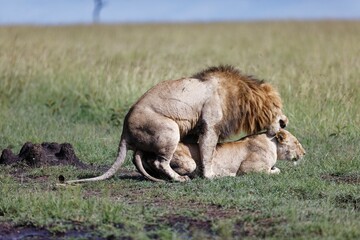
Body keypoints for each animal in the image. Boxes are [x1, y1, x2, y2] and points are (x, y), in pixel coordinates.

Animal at [66, 64, 288, 183]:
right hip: (169, 128)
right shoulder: (210, 126)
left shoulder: (195, 128)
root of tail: (124, 132)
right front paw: (210, 175)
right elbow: (208, 152)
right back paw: (179, 178)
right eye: (277, 107)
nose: (284, 122)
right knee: (160, 161)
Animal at [134, 129, 306, 180]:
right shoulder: (247, 169)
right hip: (189, 162)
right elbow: (275, 171)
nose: (304, 153)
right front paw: (275, 170)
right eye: (297, 143)